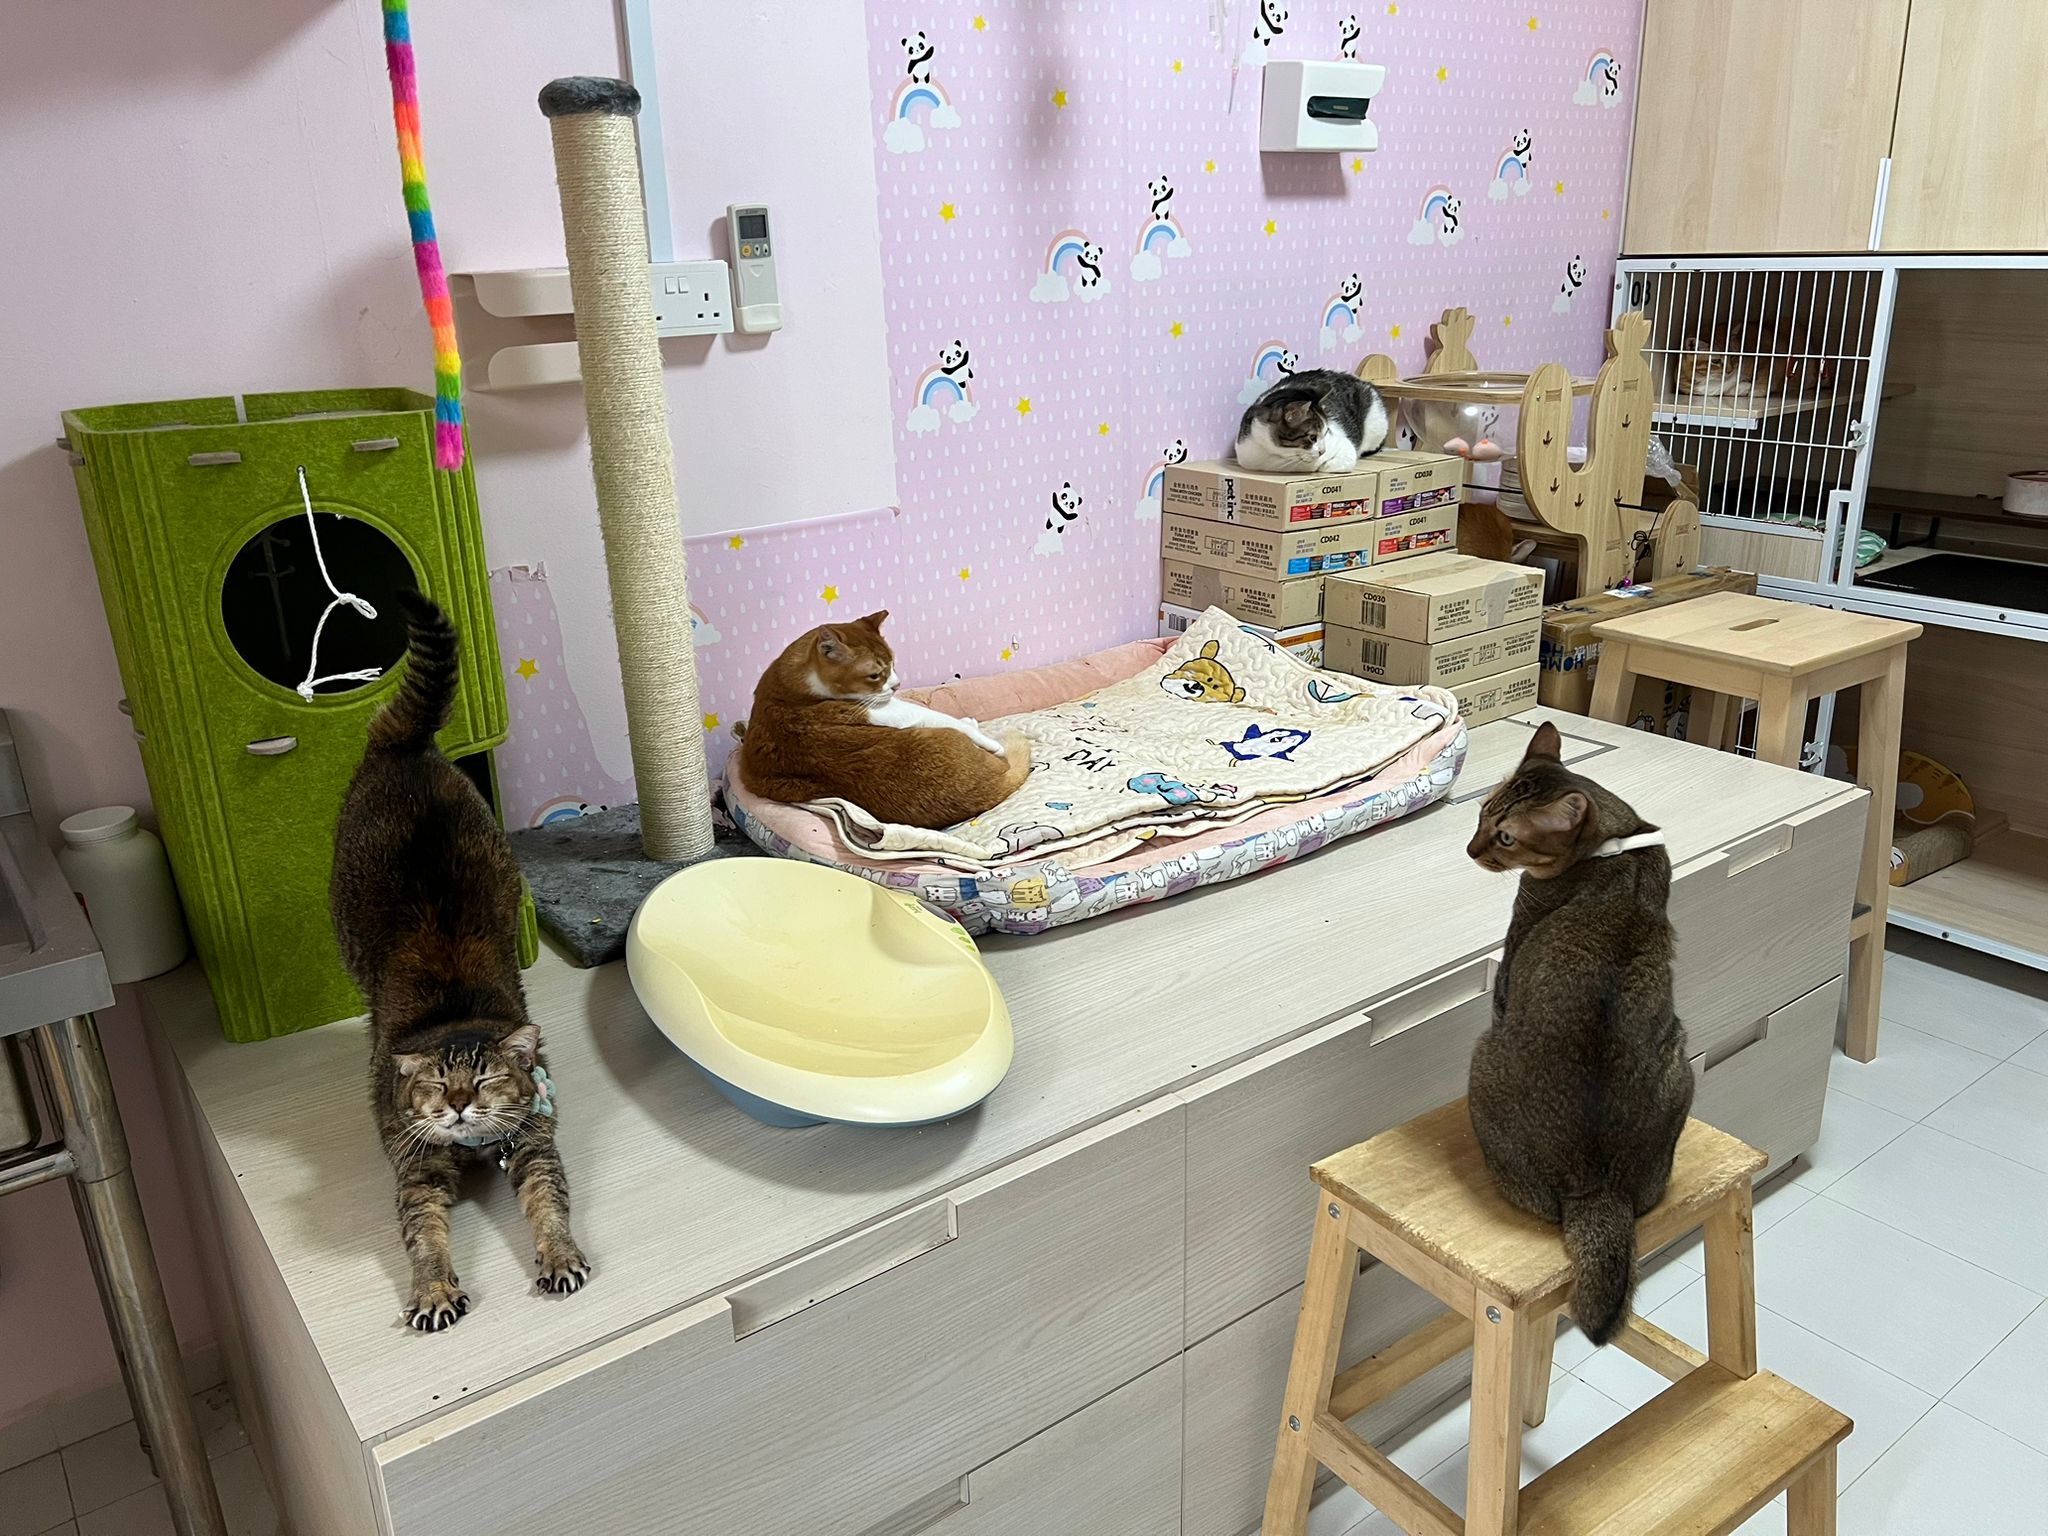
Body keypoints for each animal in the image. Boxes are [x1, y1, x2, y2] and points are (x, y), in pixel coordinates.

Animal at [331, 593, 588, 1331]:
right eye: (436, 1086)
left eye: (487, 1080)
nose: (460, 1106)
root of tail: (410, 746)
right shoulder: (416, 1174)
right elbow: (424, 1237)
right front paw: (435, 1291)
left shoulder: (534, 1147)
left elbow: (550, 1209)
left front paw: (560, 1257)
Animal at [735, 610, 1033, 828]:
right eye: (874, 675)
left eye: (892, 662)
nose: (896, 685)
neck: (789, 685)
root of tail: (993, 786)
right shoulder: (887, 709)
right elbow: (946, 719)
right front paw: (986, 737)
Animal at [1235, 369, 1389, 474]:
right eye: (1312, 437)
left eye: (1326, 432)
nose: (1323, 451)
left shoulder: (1343, 445)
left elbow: (1338, 462)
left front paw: (1323, 465)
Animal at [1464, 720, 1693, 1345]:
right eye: (1481, 813)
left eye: (1506, 837)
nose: (1470, 849)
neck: (1614, 843)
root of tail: (1599, 1190)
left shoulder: (1513, 955)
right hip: (1682, 1061)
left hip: (1482, 1059)